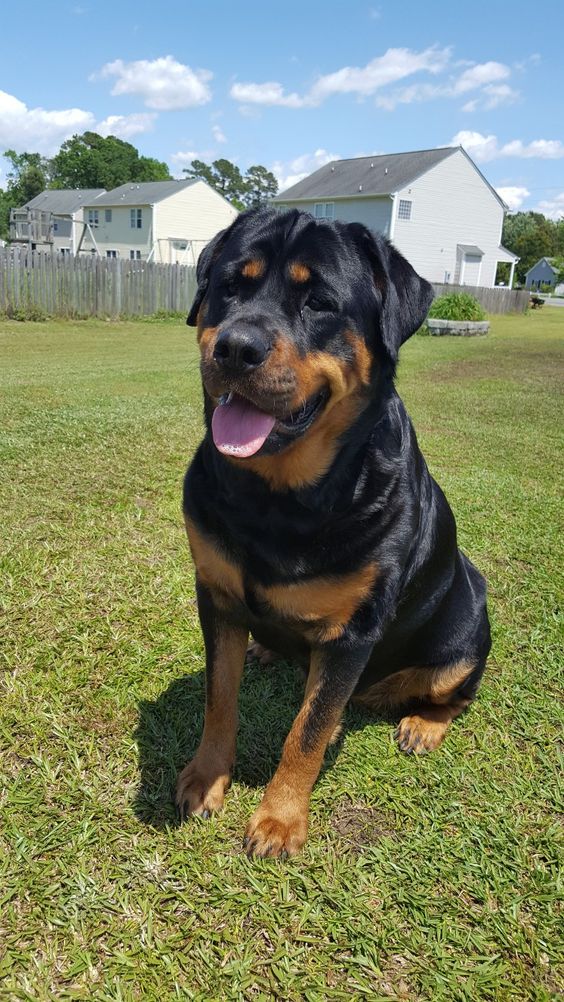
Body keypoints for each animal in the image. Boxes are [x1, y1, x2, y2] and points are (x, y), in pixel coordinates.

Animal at [176, 207, 490, 857]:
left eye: (319, 301)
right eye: (230, 286)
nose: (235, 346)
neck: (278, 498)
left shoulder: (352, 632)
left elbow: (308, 728)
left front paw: (279, 820)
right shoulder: (215, 597)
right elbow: (220, 697)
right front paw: (206, 777)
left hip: (467, 632)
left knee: (455, 693)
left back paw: (422, 725)